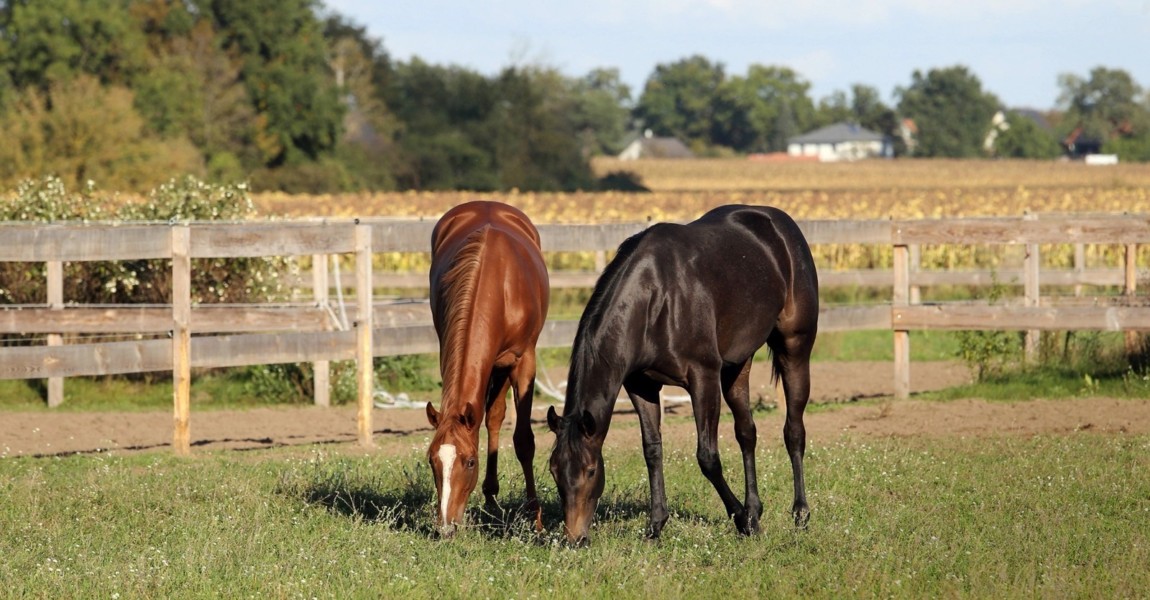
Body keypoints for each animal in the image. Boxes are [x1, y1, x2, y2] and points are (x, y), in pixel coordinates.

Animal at [425, 198, 549, 535]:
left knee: (495, 418)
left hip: (503, 365)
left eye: (469, 461)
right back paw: (491, 498)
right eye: (432, 461)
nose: (446, 527)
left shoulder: (523, 362)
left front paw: (536, 520)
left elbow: (523, 440)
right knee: (491, 417)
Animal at [547, 203, 818, 544]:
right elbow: (652, 450)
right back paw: (756, 509)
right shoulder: (641, 385)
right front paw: (656, 525)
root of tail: (778, 222)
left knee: (794, 430)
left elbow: (708, 458)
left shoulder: (703, 378)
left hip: (794, 349)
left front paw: (742, 520)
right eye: (554, 471)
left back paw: (800, 513)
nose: (574, 538)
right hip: (736, 367)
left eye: (591, 470)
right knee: (747, 433)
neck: (656, 300)